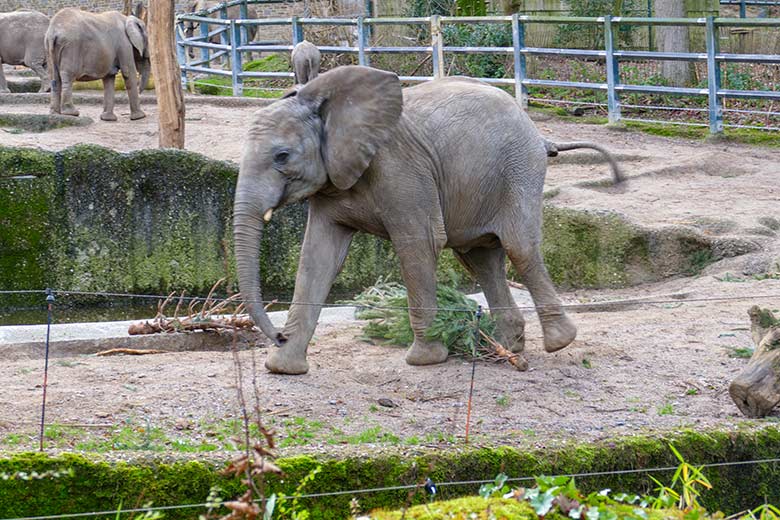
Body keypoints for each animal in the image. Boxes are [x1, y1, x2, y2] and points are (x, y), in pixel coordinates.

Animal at [235, 66, 624, 374]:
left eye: (282, 156)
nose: (277, 335)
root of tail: (541, 135)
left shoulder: (400, 168)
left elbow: (419, 243)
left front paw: (424, 360)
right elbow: (317, 257)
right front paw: (283, 368)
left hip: (519, 169)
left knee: (519, 248)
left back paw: (557, 342)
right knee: (481, 260)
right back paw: (501, 347)